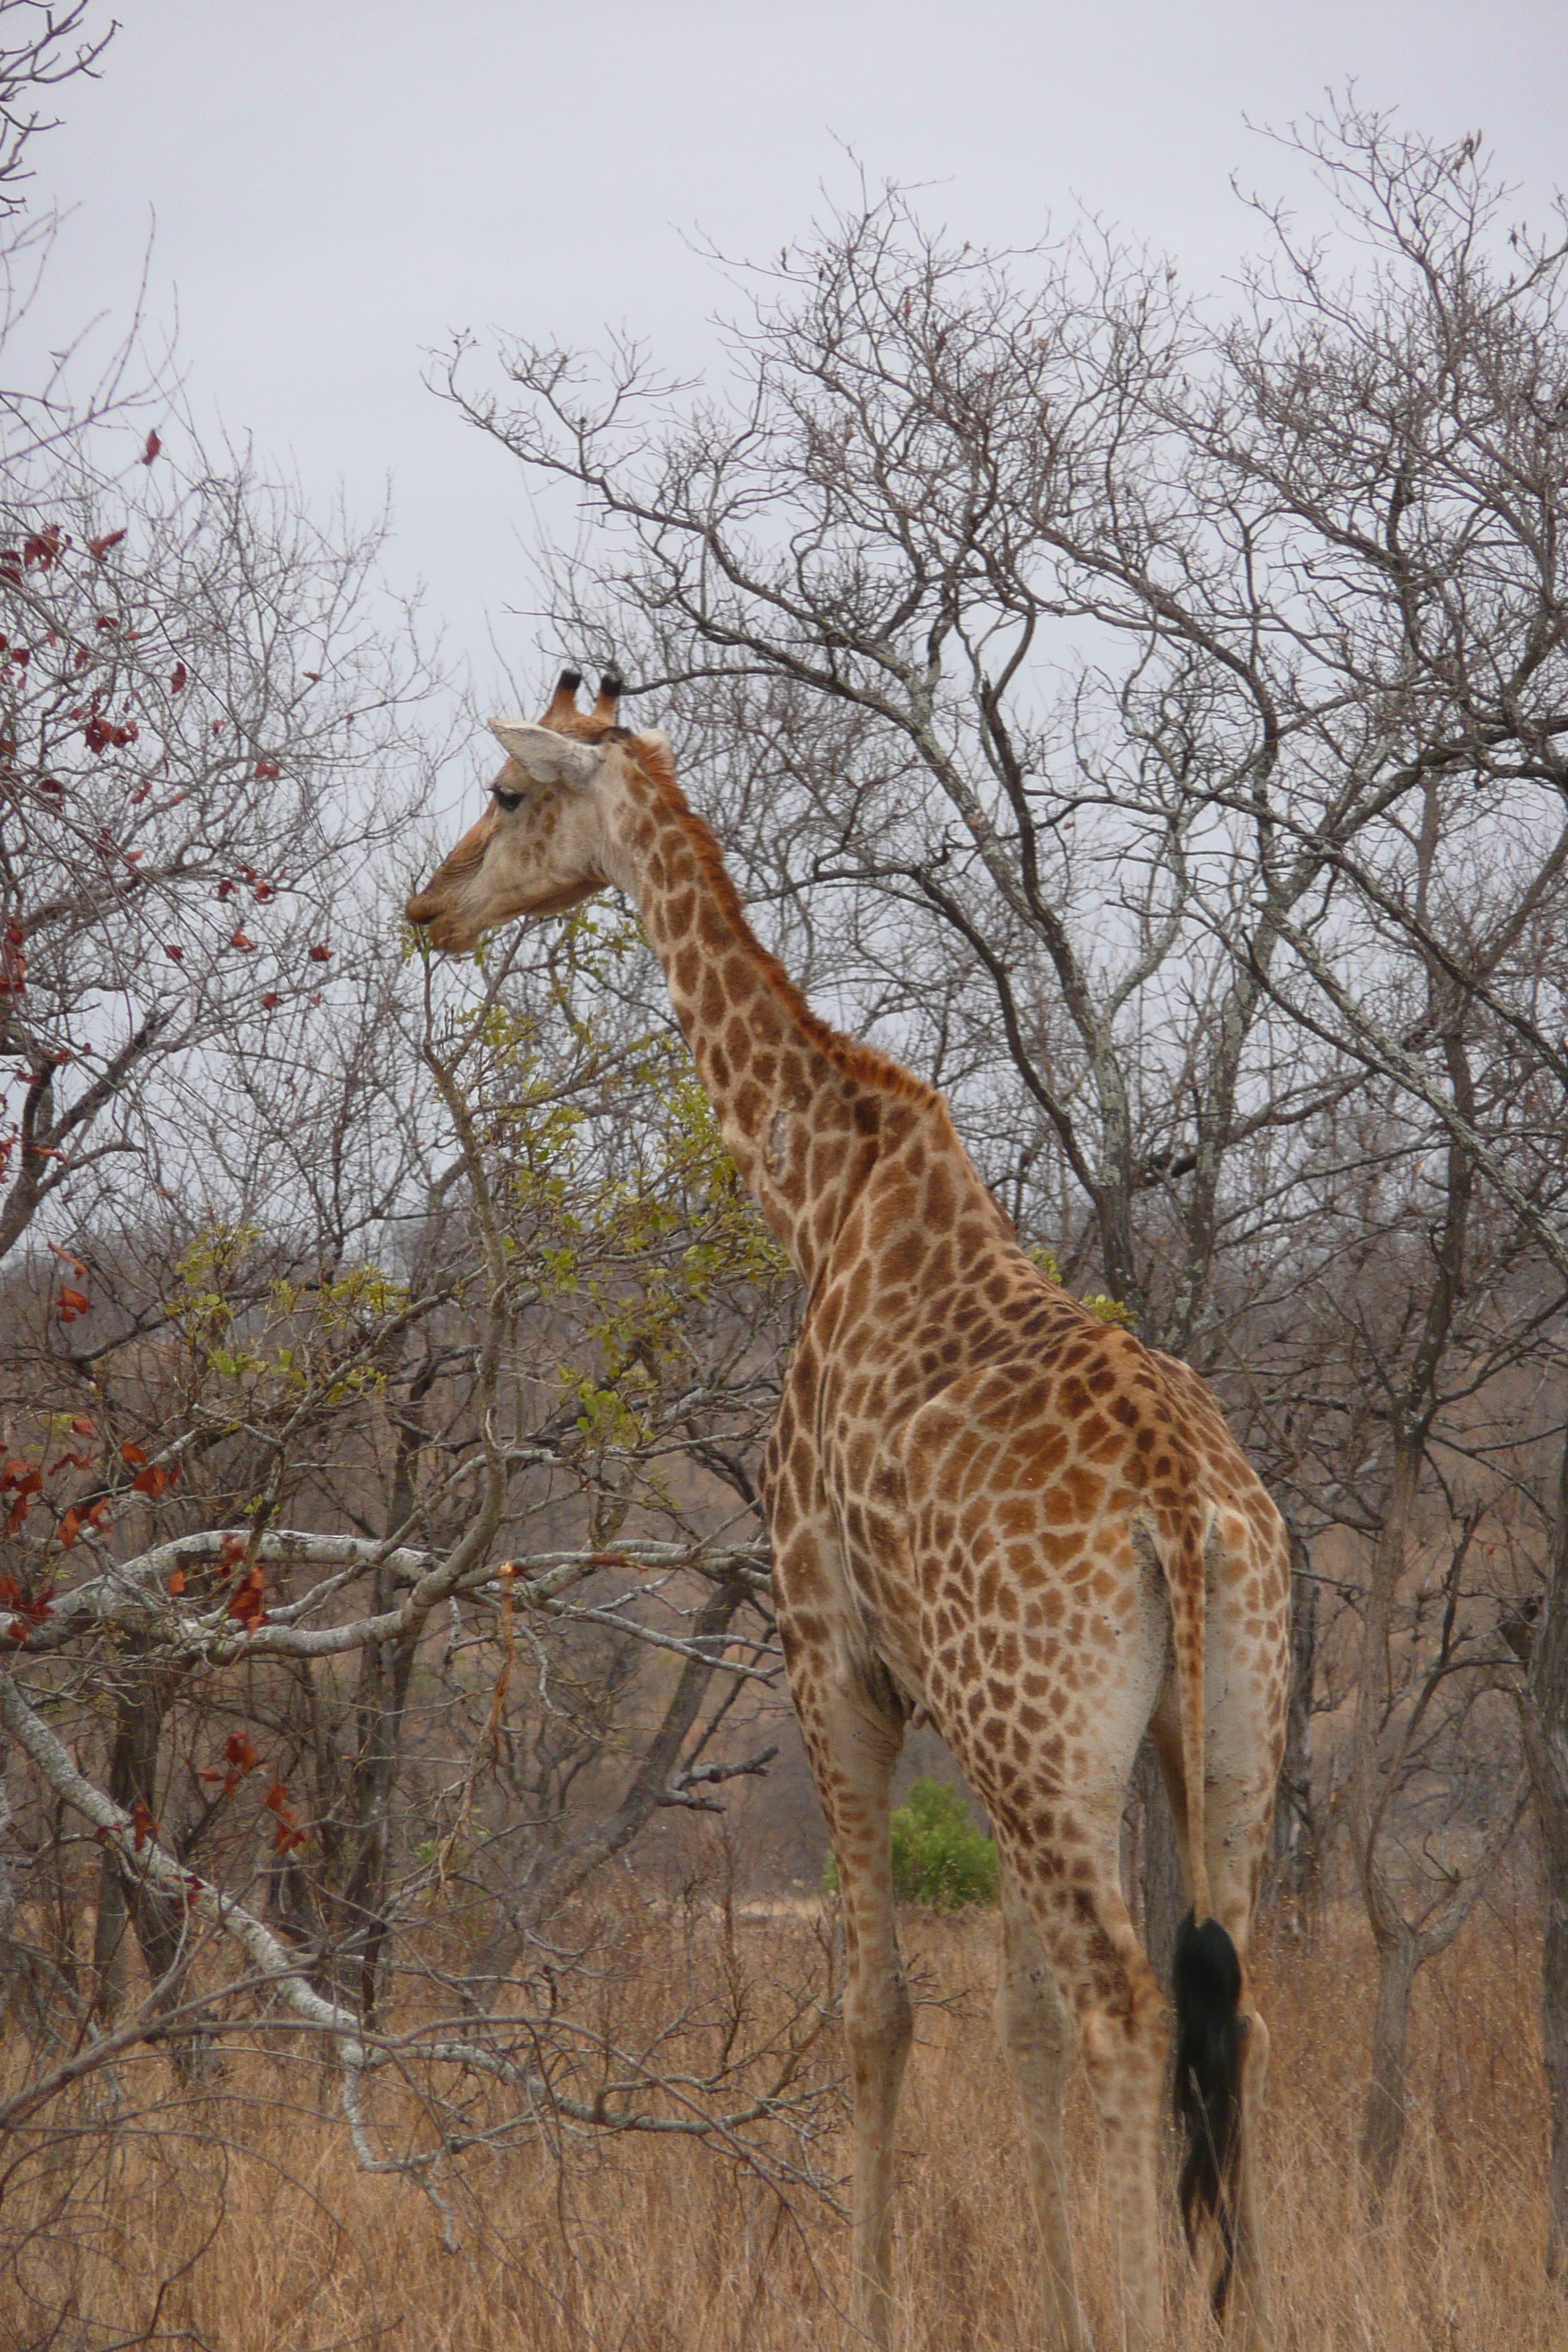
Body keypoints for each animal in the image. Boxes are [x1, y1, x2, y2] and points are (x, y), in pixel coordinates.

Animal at [404, 672, 1288, 2342]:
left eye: (504, 792)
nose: (427, 907)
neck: (815, 1193)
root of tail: (1176, 1499)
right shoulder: (986, 1729)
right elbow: (1009, 2022)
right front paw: (1058, 2308)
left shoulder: (832, 1656)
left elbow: (874, 2013)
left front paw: (869, 2311)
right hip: (1216, 1736)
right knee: (1228, 2010)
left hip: (1046, 1732)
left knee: (1130, 2012)